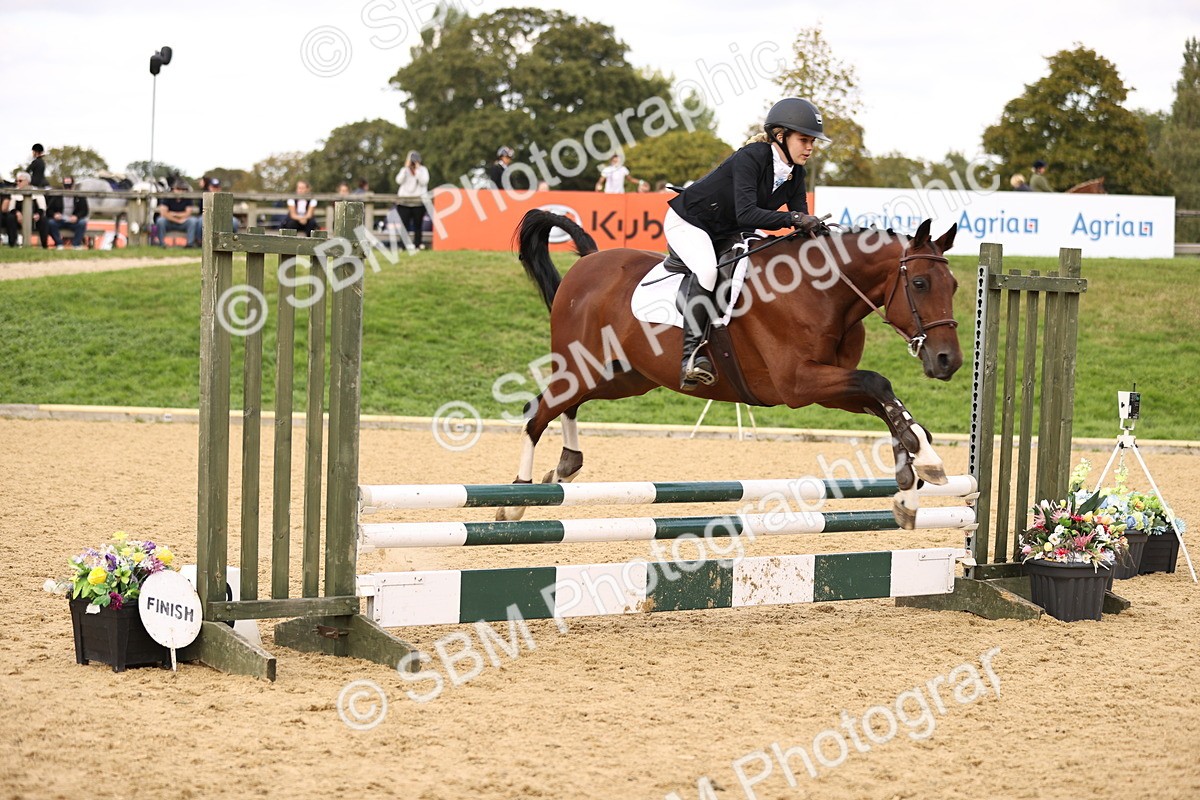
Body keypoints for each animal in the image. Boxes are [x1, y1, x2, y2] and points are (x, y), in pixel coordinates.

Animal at [500, 210, 963, 528]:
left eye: (954, 285)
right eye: (919, 283)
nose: (949, 361)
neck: (824, 291)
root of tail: (588, 263)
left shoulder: (828, 389)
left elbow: (889, 407)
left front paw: (913, 480)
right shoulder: (799, 383)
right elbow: (878, 383)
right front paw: (923, 466)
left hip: (622, 377)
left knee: (567, 404)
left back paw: (565, 465)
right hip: (583, 366)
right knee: (537, 410)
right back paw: (516, 498)